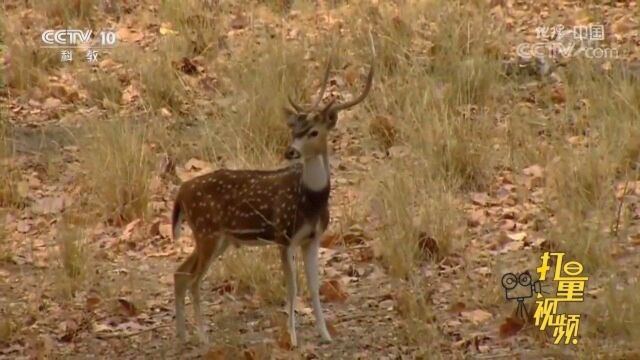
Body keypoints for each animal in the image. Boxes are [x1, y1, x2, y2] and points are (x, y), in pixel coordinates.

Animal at [172, 36, 376, 346]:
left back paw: (184, 335)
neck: (310, 201)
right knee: (193, 279)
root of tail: (181, 191)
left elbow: (314, 286)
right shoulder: (284, 235)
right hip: (207, 231)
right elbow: (292, 289)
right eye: (295, 131)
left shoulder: (313, 238)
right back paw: (203, 337)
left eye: (314, 132)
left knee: (180, 273)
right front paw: (293, 338)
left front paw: (326, 334)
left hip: (217, 238)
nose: (290, 151)